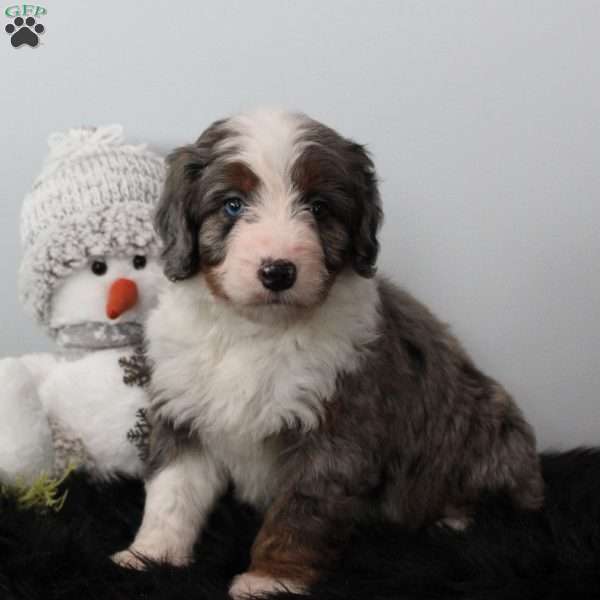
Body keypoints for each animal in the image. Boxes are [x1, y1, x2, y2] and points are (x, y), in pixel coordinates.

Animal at [112, 110, 544, 596]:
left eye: (318, 207)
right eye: (233, 205)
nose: (278, 272)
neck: (256, 330)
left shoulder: (336, 431)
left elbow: (301, 511)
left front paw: (270, 579)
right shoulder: (184, 411)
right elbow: (172, 492)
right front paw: (152, 556)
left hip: (492, 427)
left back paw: (454, 519)